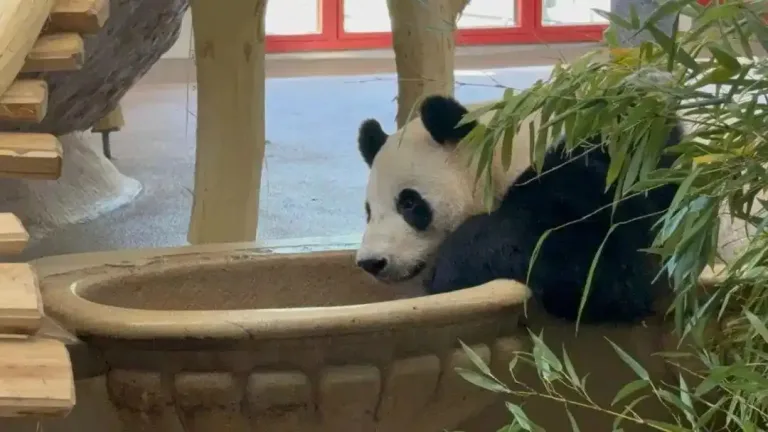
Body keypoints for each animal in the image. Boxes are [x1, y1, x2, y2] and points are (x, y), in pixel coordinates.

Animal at [355, 94, 683, 325]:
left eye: (409, 203)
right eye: (369, 210)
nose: (371, 262)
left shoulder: (597, 177)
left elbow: (596, 268)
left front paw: (452, 274)